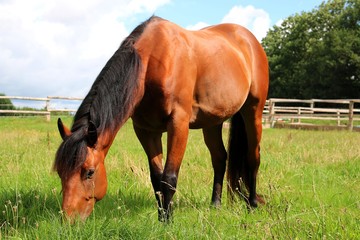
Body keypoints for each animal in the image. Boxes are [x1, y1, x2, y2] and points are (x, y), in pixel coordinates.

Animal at [53, 15, 268, 222]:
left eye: (89, 172)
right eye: (60, 172)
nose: (69, 220)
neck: (153, 62)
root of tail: (248, 38)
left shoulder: (178, 124)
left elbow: (169, 177)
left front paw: (169, 221)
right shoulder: (146, 130)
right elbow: (157, 177)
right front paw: (162, 217)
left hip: (253, 112)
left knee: (253, 157)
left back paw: (252, 204)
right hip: (212, 122)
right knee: (220, 158)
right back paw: (215, 204)